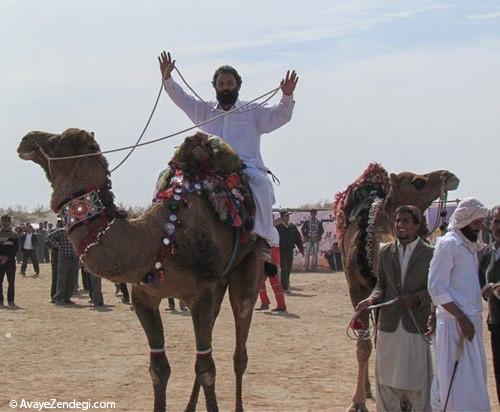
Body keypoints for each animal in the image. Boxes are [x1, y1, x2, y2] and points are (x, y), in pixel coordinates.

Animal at [17, 127, 264, 410]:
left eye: (56, 140)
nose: (26, 139)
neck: (160, 239)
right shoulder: (145, 297)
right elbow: (159, 369)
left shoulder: (200, 294)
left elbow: (206, 369)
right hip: (217, 286)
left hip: (248, 266)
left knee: (239, 347)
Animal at [334, 164, 458, 412]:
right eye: (418, 182)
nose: (450, 176)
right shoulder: (358, 289)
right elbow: (363, 345)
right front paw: (357, 402)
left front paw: (404, 400)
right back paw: (367, 388)